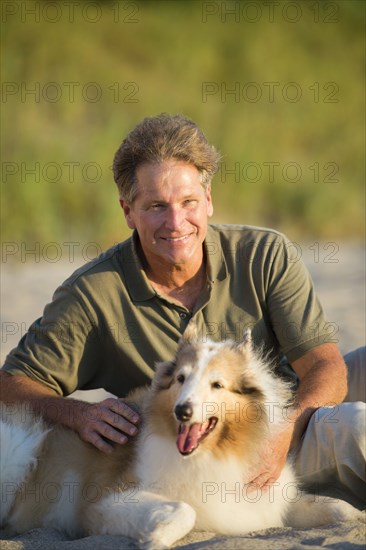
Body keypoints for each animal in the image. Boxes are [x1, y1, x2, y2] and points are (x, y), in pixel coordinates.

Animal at [0, 330, 360, 548]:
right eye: (181, 378)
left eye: (217, 384)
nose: (182, 412)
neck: (215, 454)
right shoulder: (103, 501)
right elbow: (183, 512)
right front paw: (153, 539)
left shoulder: (269, 504)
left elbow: (342, 509)